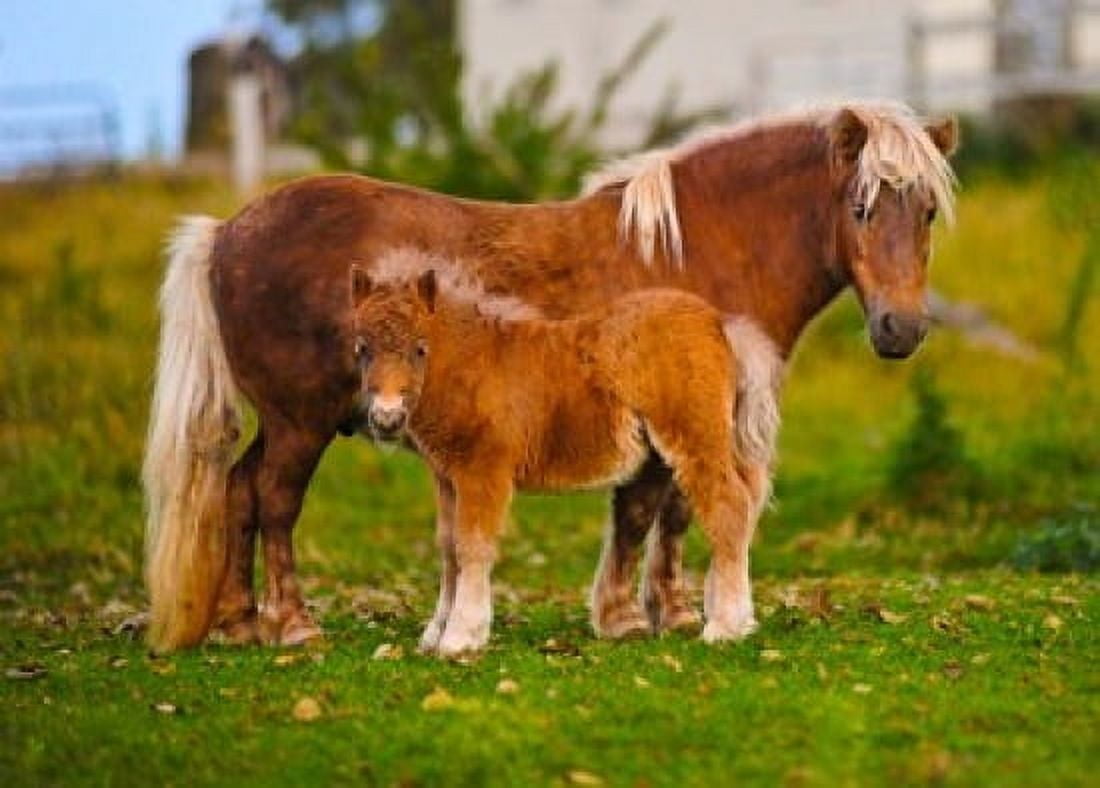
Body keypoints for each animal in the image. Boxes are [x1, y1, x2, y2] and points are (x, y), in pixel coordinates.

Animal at [348, 249, 780, 655]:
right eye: (362, 348)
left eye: (420, 349)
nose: (386, 418)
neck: (474, 366)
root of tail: (721, 324)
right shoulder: (446, 475)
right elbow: (448, 548)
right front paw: (434, 634)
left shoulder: (483, 470)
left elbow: (472, 546)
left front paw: (461, 638)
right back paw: (737, 619)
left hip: (694, 436)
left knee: (728, 507)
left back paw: (723, 627)